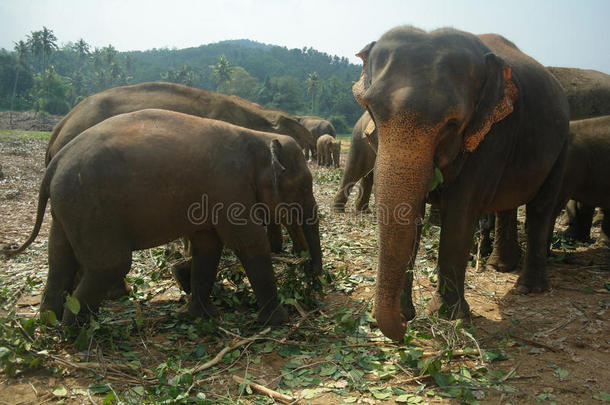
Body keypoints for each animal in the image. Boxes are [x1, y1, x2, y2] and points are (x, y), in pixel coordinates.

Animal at [354, 26, 568, 340]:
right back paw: (501, 267)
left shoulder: (494, 133)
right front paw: (409, 313)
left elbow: (462, 211)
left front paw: (448, 316)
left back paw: (529, 288)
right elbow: (413, 214)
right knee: (508, 207)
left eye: (452, 123)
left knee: (541, 207)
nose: (403, 327)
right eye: (371, 109)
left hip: (562, 143)